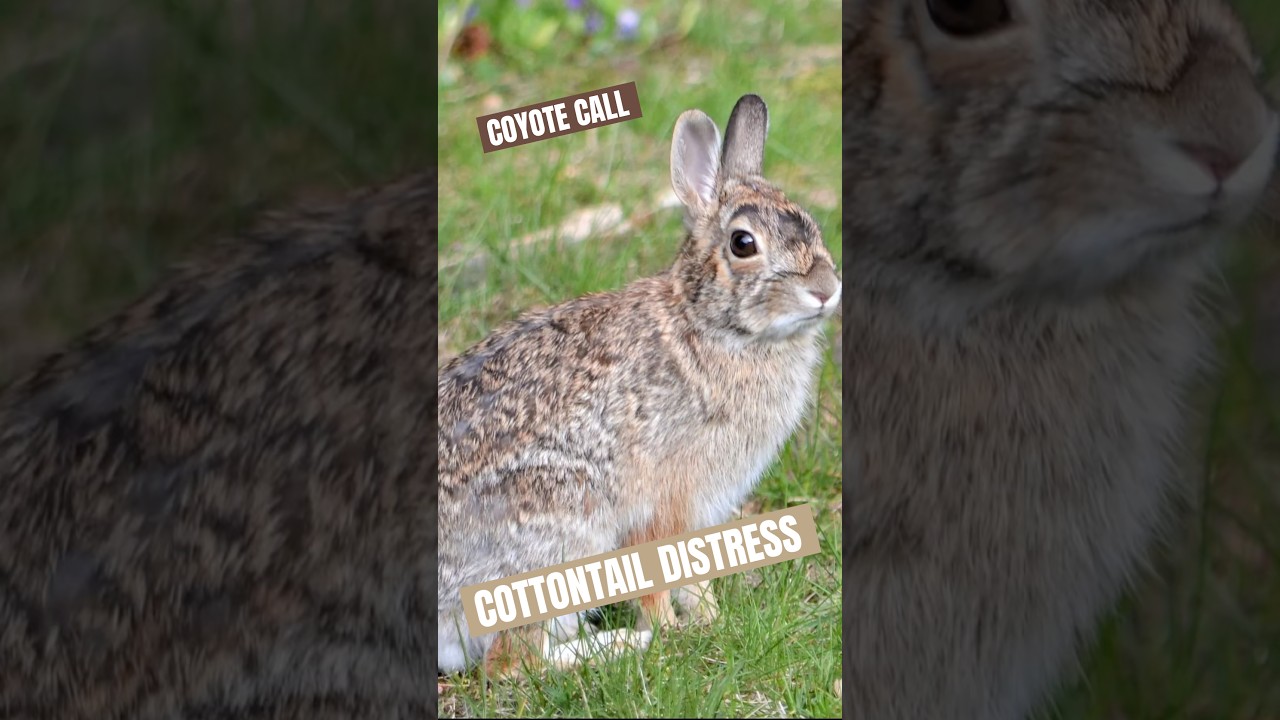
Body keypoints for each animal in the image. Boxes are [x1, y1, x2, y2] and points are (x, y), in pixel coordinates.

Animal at [437, 94, 841, 675]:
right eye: (743, 243)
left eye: (808, 221)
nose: (826, 290)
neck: (709, 327)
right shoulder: (664, 501)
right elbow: (657, 579)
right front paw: (675, 631)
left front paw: (712, 619)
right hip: (559, 529)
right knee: (514, 663)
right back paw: (624, 644)